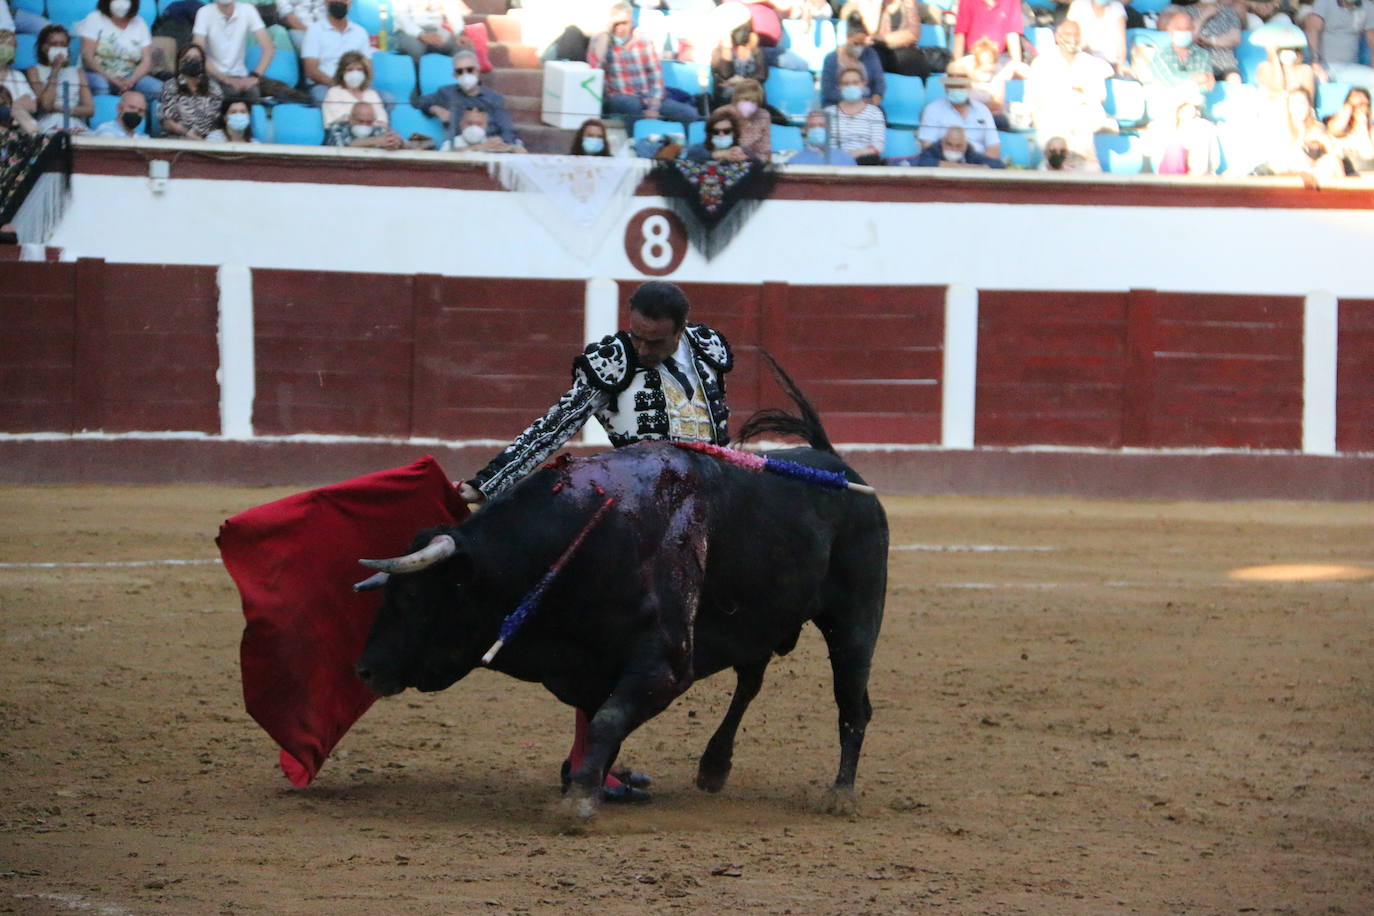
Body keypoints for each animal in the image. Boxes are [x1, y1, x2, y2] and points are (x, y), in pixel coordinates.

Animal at [357, 436, 890, 818]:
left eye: (411, 596)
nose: (362, 670)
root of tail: (839, 467)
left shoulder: (665, 666)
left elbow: (608, 721)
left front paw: (578, 800)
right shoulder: (591, 667)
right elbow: (597, 725)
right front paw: (593, 784)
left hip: (855, 620)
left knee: (852, 702)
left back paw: (839, 795)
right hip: (760, 620)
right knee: (750, 681)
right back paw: (714, 767)